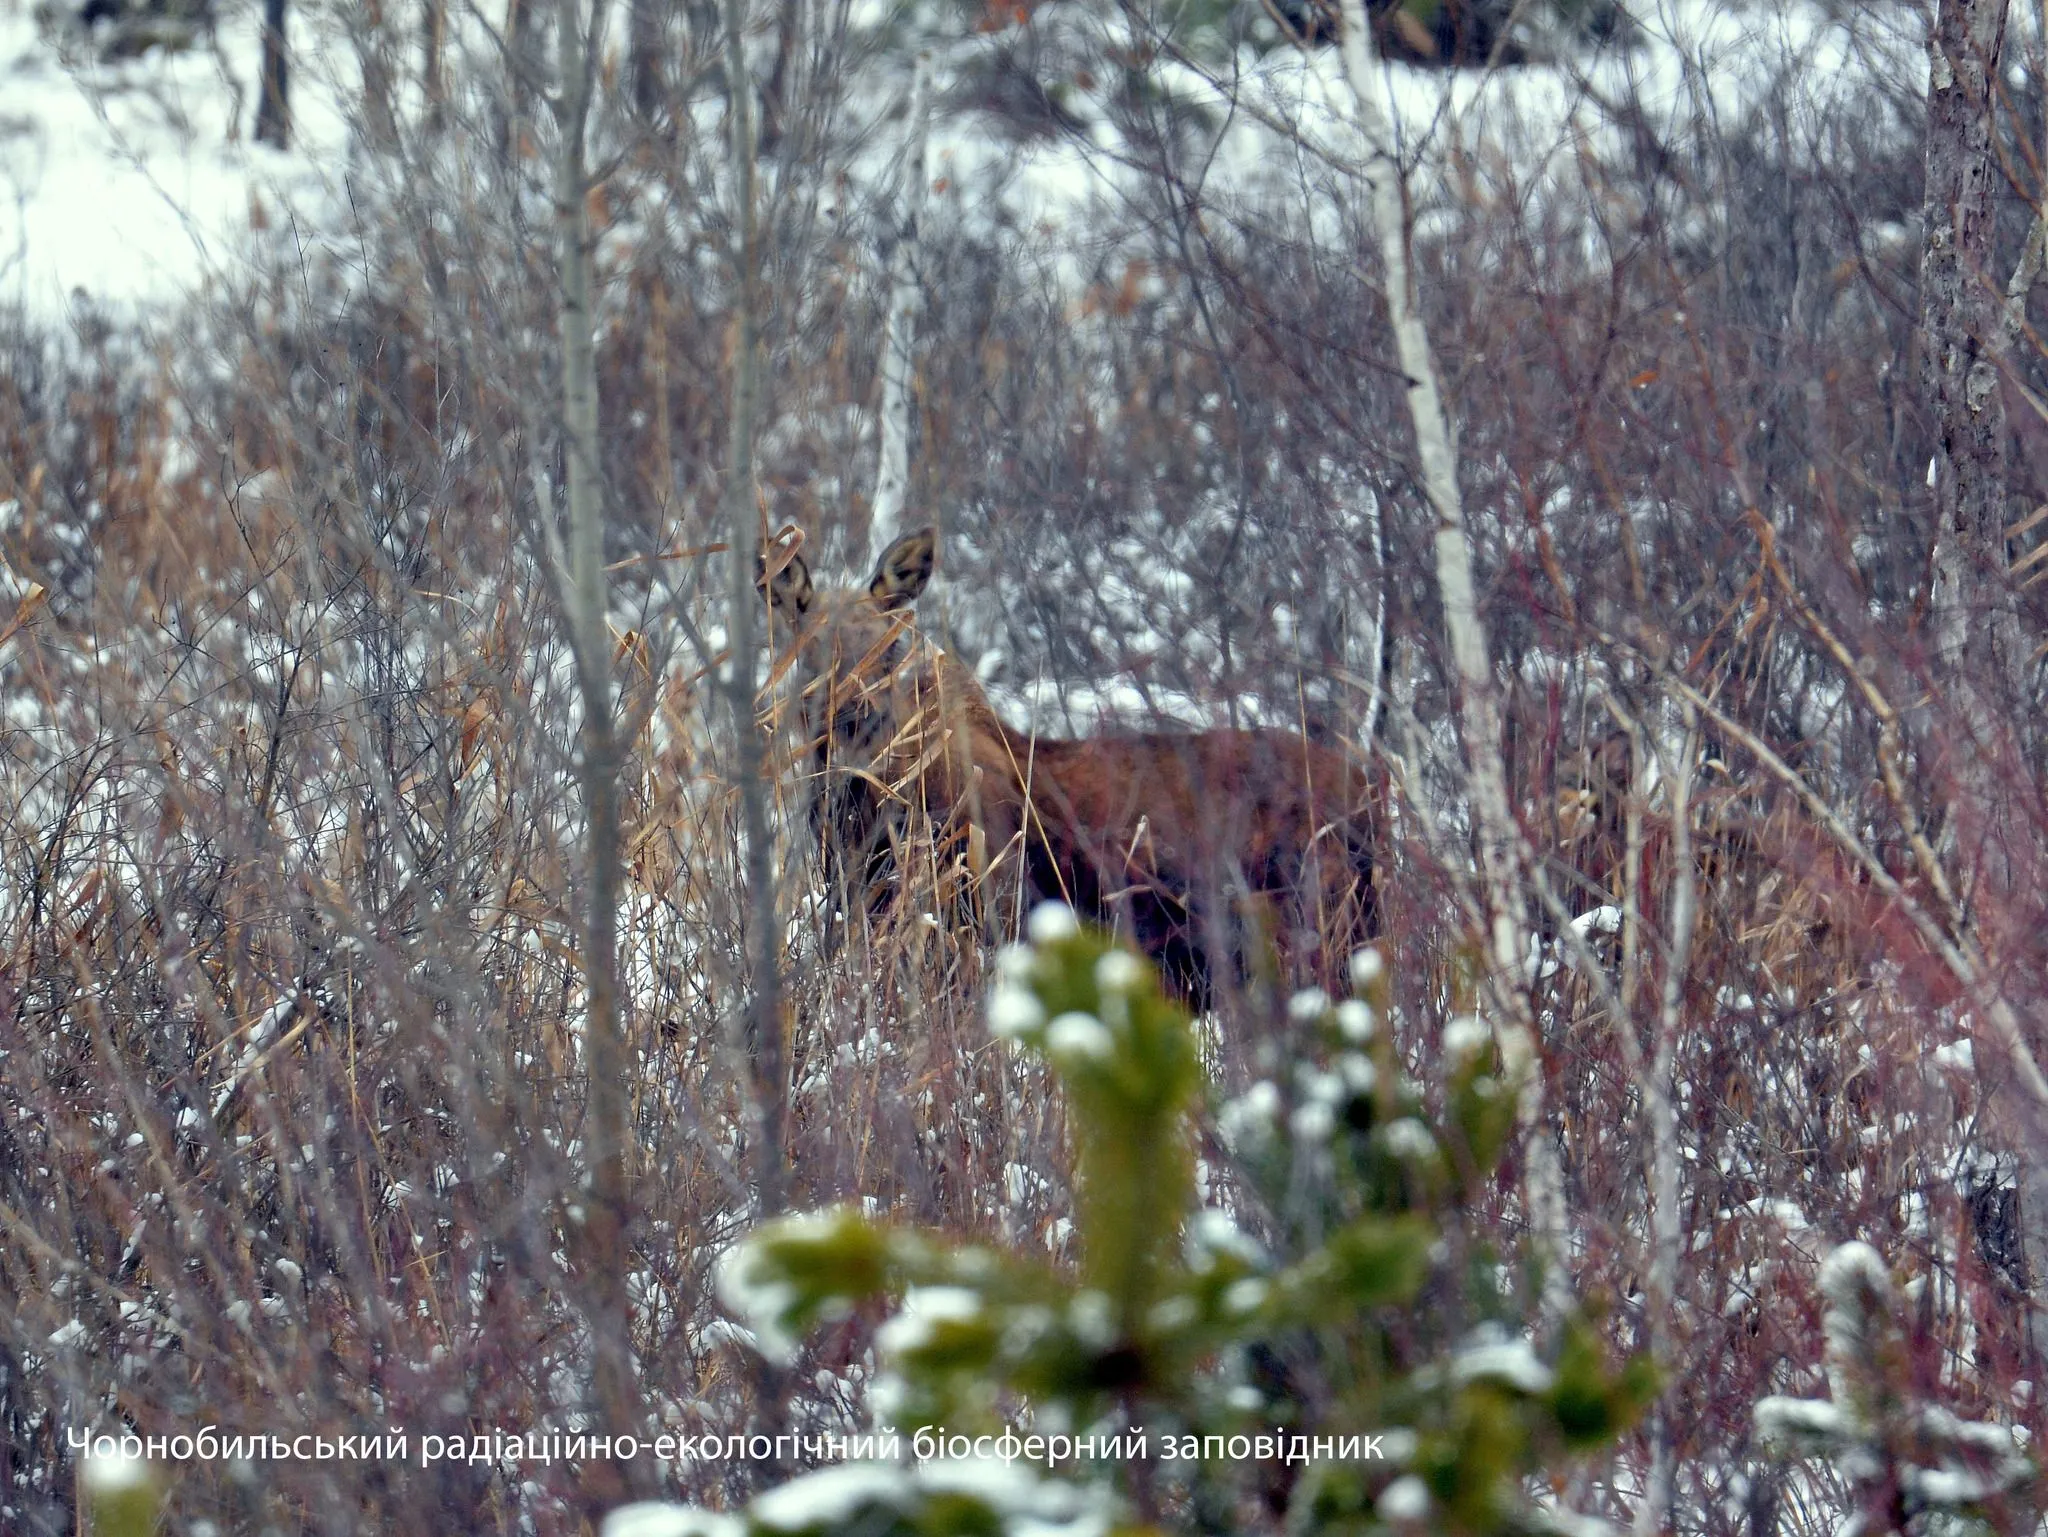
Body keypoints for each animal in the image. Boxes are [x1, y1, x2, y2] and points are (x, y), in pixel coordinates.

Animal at [761, 528, 1384, 1012]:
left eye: (890, 649)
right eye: (811, 651)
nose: (856, 710)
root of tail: (1372, 790)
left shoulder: (983, 922)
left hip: (1323, 936)